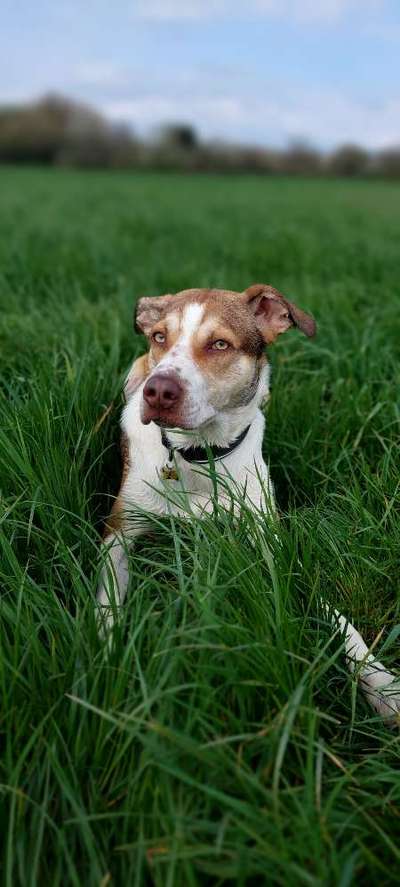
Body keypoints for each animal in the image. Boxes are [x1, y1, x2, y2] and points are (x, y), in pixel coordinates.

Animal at [97, 288, 400, 724]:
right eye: (159, 337)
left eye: (219, 344)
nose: (158, 391)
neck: (199, 455)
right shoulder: (119, 532)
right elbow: (107, 603)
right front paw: (107, 664)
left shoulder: (273, 540)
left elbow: (335, 615)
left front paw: (381, 682)